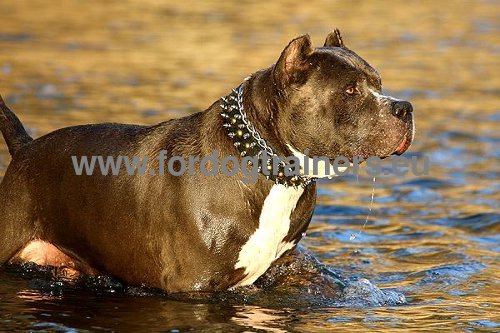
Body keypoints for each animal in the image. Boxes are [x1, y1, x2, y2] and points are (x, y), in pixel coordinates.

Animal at [0, 29, 414, 292]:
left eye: (378, 83)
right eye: (350, 90)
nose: (405, 108)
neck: (269, 167)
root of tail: (25, 148)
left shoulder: (283, 268)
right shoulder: (193, 284)